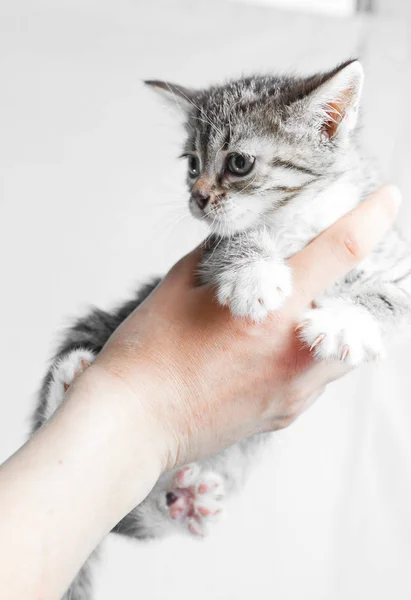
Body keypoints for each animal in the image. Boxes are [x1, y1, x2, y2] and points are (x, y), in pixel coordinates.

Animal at [33, 58, 411, 596]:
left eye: (238, 163)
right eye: (191, 164)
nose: (196, 197)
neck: (303, 218)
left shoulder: (397, 261)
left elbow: (392, 296)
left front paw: (347, 319)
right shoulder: (204, 254)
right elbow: (233, 238)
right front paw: (253, 273)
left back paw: (179, 504)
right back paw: (67, 387)